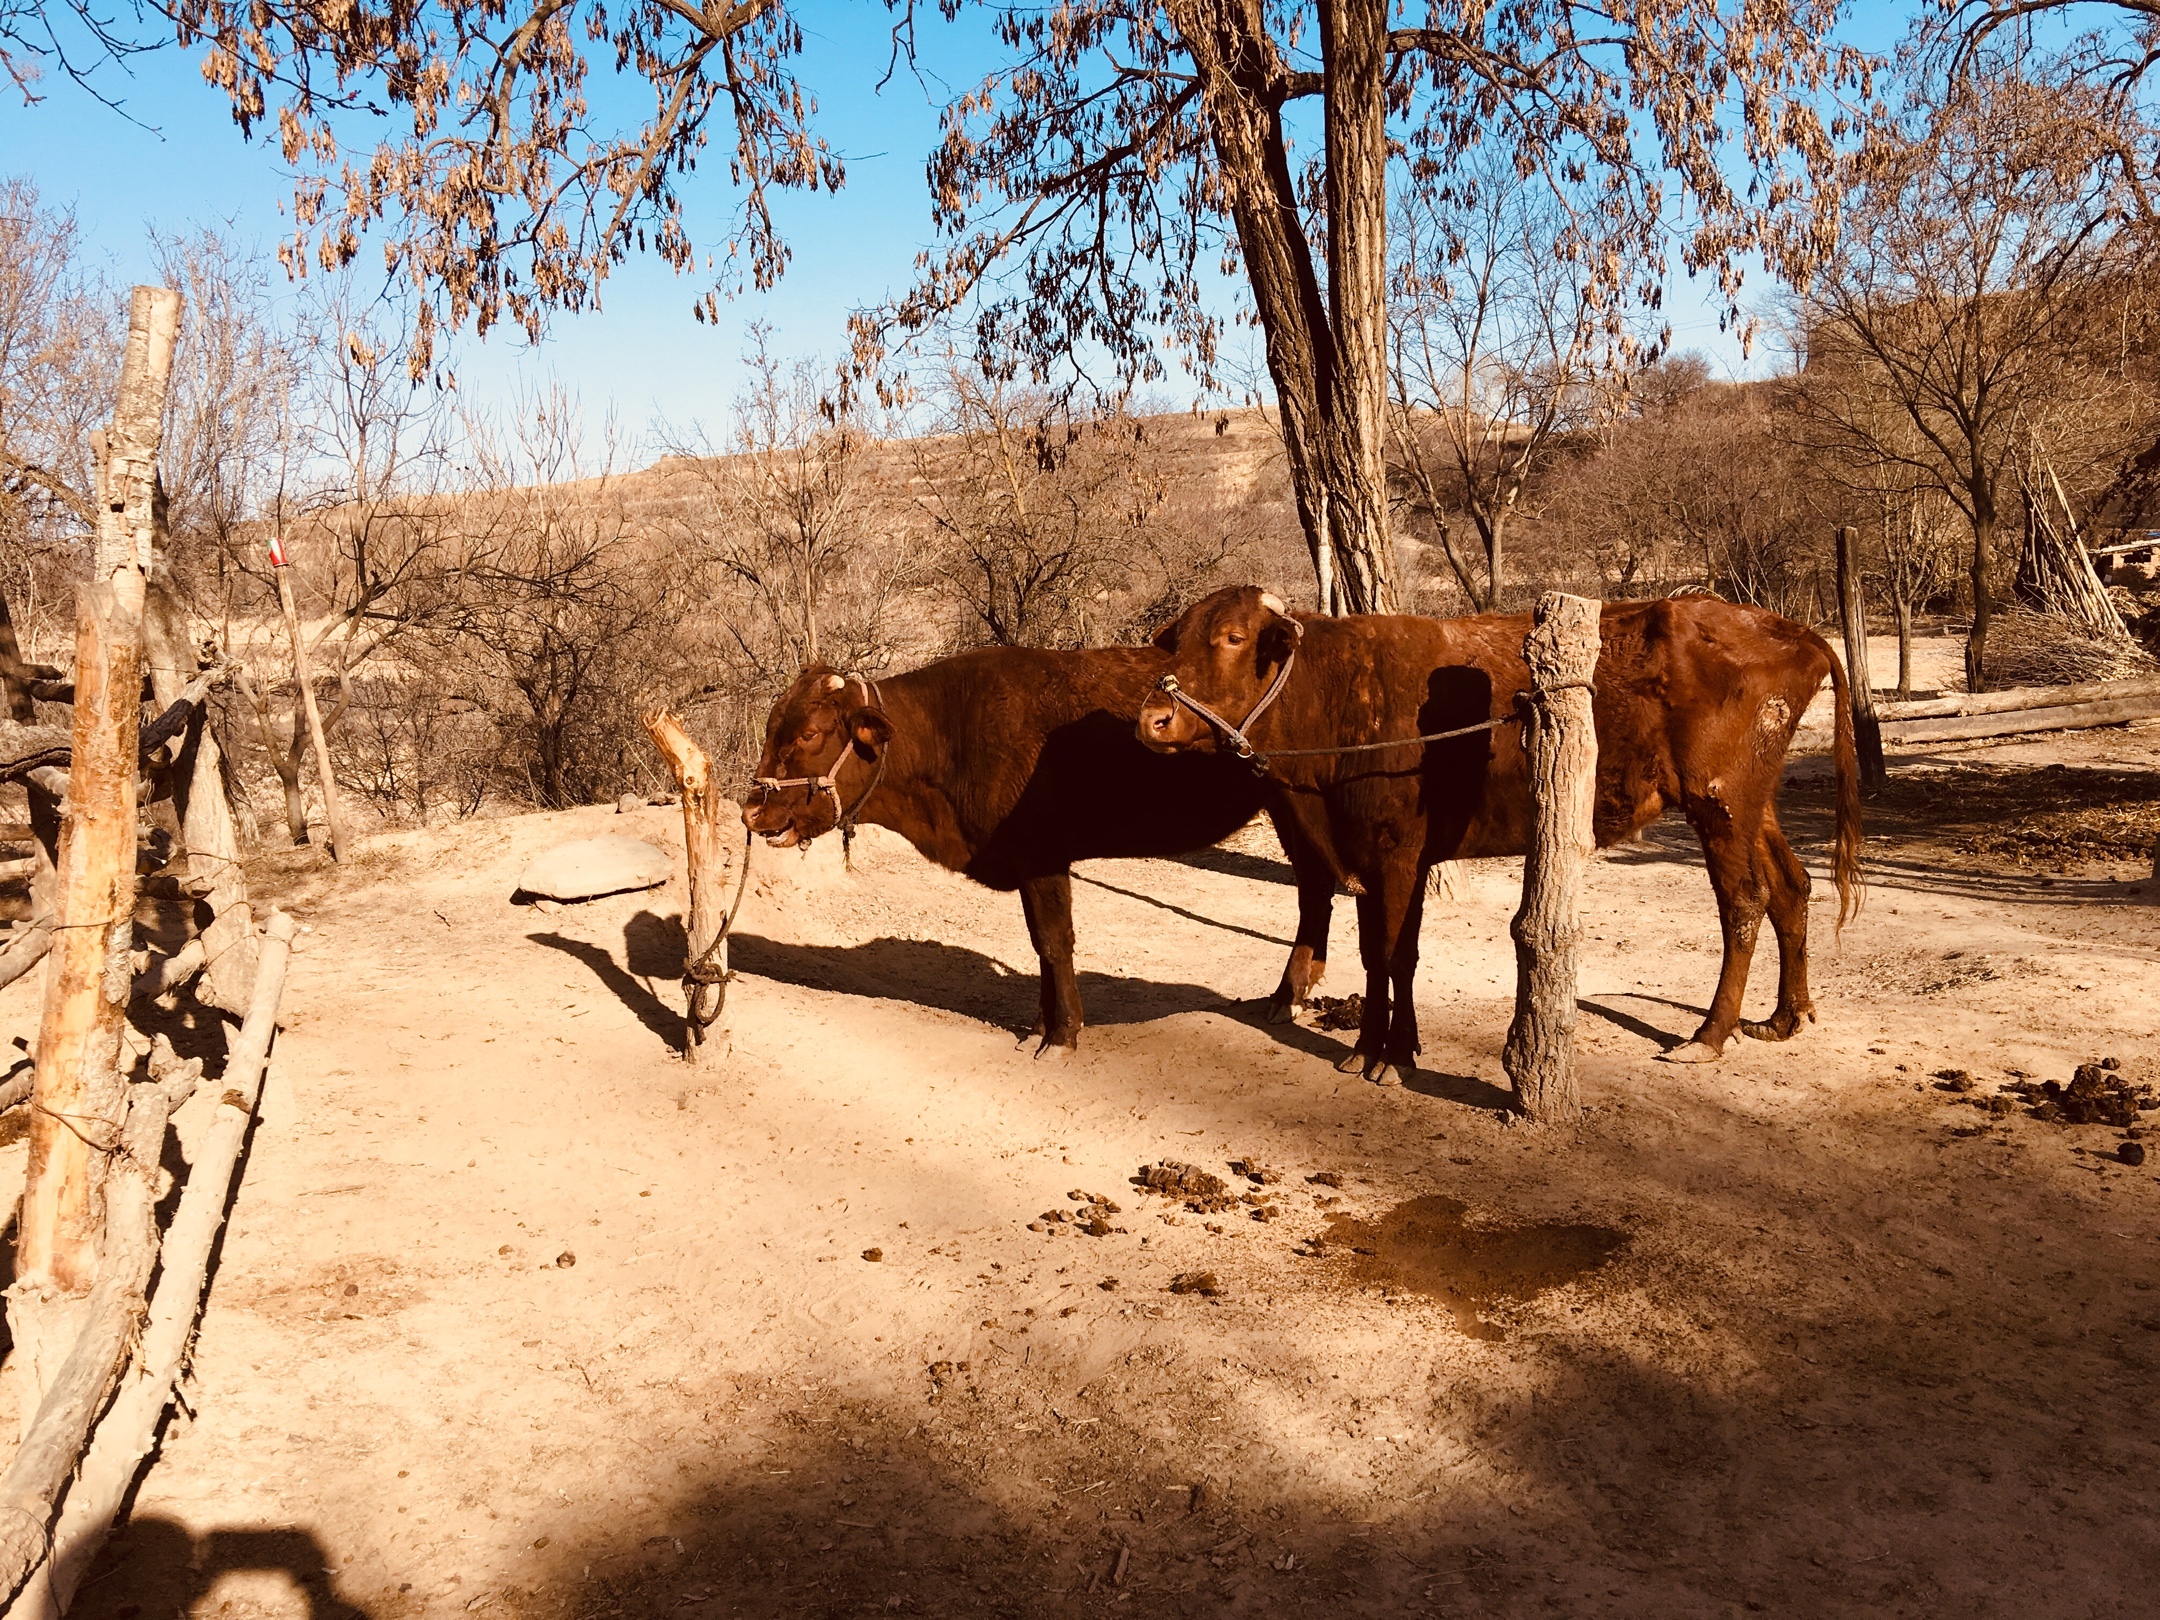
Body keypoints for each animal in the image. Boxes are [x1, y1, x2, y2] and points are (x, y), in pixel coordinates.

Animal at [747, 652, 1347, 1058]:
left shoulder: (1042, 856)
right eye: (774, 725)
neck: (953, 732)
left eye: (810, 732)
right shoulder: (1025, 861)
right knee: (1315, 888)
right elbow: (1039, 944)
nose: (752, 810)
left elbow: (1056, 942)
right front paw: (1039, 1024)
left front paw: (1062, 1034)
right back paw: (1291, 993)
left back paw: (1289, 994)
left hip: (1309, 803)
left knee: (1319, 886)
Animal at [1140, 591, 1866, 1084]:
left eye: (1233, 636)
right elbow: (1376, 951)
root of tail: (1787, 629)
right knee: (1791, 889)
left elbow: (1393, 955)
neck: (1342, 693)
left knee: (1744, 901)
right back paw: (1785, 1016)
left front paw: (1391, 1054)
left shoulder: (1398, 854)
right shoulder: (1367, 856)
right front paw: (1371, 1046)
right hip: (1752, 804)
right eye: (1173, 640)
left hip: (1721, 803)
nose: (1154, 719)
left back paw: (1710, 1033)